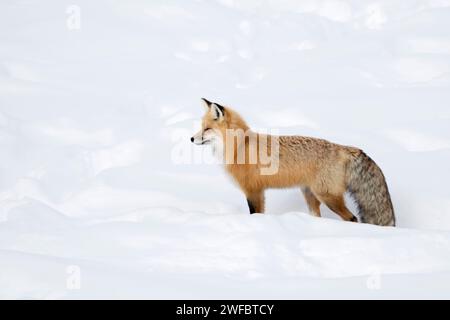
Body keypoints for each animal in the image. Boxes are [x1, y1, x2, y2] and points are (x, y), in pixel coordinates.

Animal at [192, 99, 396, 226]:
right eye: (201, 127)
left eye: (207, 129)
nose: (191, 139)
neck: (239, 146)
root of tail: (341, 147)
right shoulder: (259, 191)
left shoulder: (253, 190)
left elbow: (256, 213)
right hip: (310, 195)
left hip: (327, 196)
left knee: (352, 218)